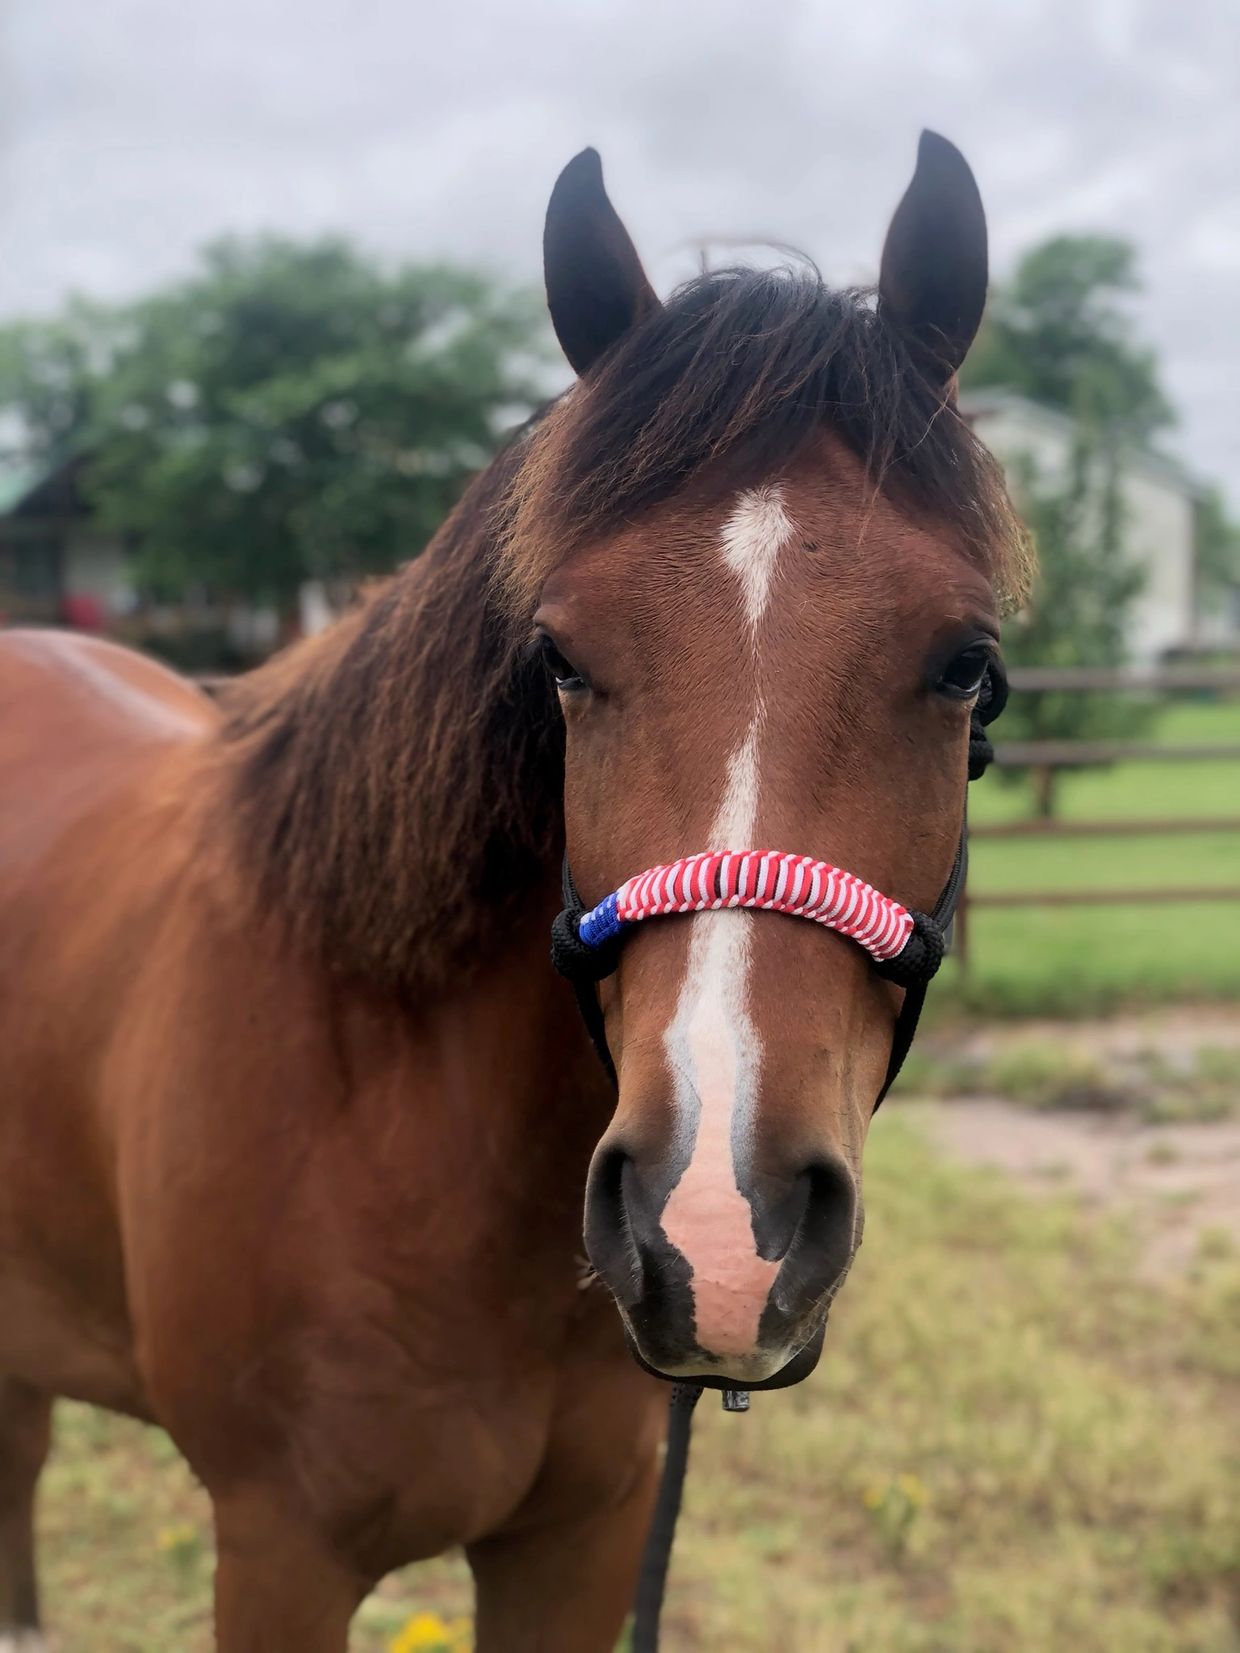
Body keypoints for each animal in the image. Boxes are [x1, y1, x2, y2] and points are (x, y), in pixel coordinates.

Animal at [0, 132, 1029, 1651]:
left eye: (967, 663)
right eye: (558, 658)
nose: (719, 1230)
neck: (394, 1105)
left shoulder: (579, 1544)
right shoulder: (277, 1554)